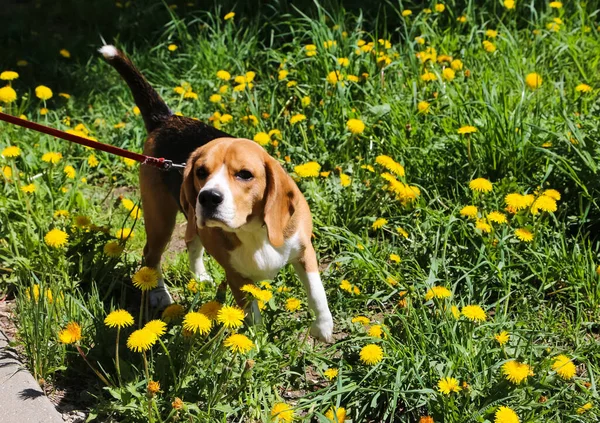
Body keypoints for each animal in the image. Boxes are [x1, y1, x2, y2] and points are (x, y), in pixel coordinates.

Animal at [98, 46, 332, 342]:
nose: (208, 197)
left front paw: (323, 328)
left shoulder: (304, 251)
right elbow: (252, 317)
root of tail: (166, 119)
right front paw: (255, 344)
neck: (253, 229)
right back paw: (159, 294)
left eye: (244, 174)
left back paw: (199, 276)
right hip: (161, 218)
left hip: (188, 218)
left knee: (191, 242)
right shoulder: (237, 277)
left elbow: (317, 292)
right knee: (151, 255)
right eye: (201, 171)